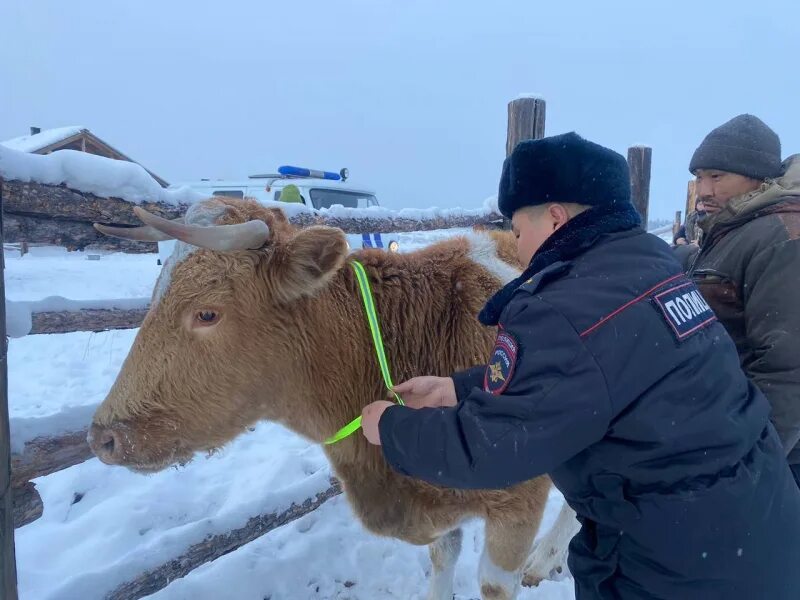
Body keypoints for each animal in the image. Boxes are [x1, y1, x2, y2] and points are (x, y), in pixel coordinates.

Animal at [89, 198, 568, 600]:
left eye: (206, 313)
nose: (102, 438)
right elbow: (442, 558)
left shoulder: (518, 507)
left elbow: (494, 585)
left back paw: (544, 559)